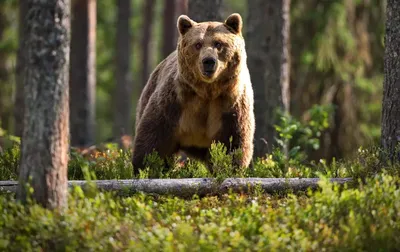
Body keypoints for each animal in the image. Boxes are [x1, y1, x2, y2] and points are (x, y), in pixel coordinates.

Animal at [133, 12, 255, 177]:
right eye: (197, 44)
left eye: (218, 44)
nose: (208, 61)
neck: (207, 91)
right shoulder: (175, 101)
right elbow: (154, 139)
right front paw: (146, 168)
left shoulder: (230, 105)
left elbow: (233, 143)